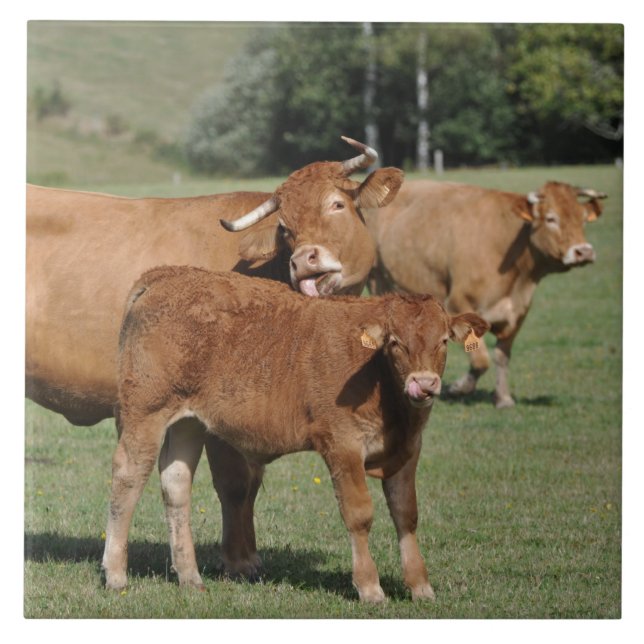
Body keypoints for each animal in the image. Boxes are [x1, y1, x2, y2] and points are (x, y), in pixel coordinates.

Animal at [26, 136, 404, 578]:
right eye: (285, 227)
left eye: (337, 204)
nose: (306, 260)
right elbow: (235, 481)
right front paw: (239, 559)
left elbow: (247, 480)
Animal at [101, 266, 489, 602]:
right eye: (395, 342)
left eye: (443, 340)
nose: (424, 384)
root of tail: (168, 274)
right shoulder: (342, 445)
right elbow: (359, 514)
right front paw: (370, 587)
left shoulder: (408, 450)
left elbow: (406, 514)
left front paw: (420, 586)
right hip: (146, 413)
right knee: (128, 479)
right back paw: (116, 574)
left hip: (188, 423)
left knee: (176, 484)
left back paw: (190, 577)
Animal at [367, 180, 606, 408]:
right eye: (551, 219)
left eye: (583, 219)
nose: (584, 252)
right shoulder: (459, 304)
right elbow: (481, 360)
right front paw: (459, 388)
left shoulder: (518, 313)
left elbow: (502, 356)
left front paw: (503, 398)